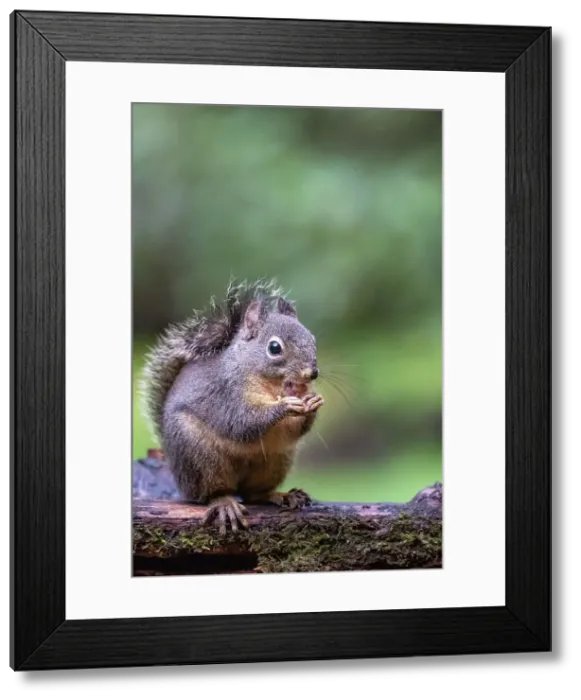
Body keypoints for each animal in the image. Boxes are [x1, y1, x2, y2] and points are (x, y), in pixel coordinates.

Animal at [139, 278, 324, 534]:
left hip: (276, 459)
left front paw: (312, 402)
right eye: (274, 348)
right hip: (200, 457)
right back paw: (224, 504)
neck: (270, 385)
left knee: (254, 494)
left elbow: (294, 429)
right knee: (213, 493)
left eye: (313, 340)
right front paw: (285, 406)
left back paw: (282, 495)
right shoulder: (226, 394)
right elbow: (242, 422)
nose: (312, 373)